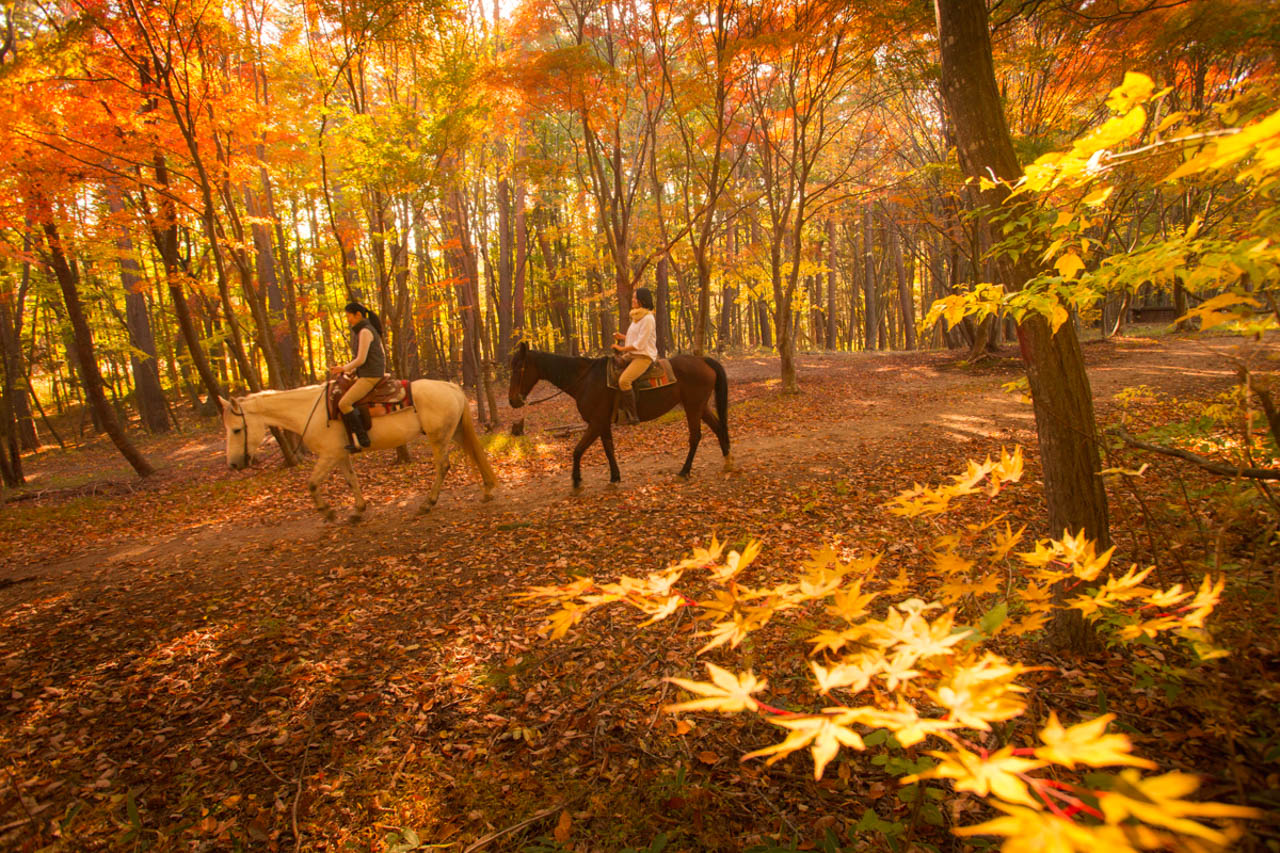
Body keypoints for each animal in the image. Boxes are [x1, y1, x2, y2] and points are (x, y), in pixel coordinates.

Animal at [220, 379, 494, 517]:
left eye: (236, 430)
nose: (233, 464)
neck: (310, 410)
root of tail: (451, 386)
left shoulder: (328, 455)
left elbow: (312, 483)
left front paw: (327, 511)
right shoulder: (340, 454)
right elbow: (351, 480)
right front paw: (359, 509)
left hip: (439, 437)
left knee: (443, 466)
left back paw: (429, 503)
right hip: (455, 432)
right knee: (473, 453)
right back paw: (488, 490)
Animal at [506, 343, 732, 491]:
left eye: (518, 368)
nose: (512, 400)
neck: (586, 380)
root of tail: (703, 360)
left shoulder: (596, 423)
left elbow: (578, 450)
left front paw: (576, 479)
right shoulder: (603, 424)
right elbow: (608, 449)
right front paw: (615, 476)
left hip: (693, 407)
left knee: (695, 436)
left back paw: (685, 471)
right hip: (700, 406)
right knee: (718, 427)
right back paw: (726, 459)